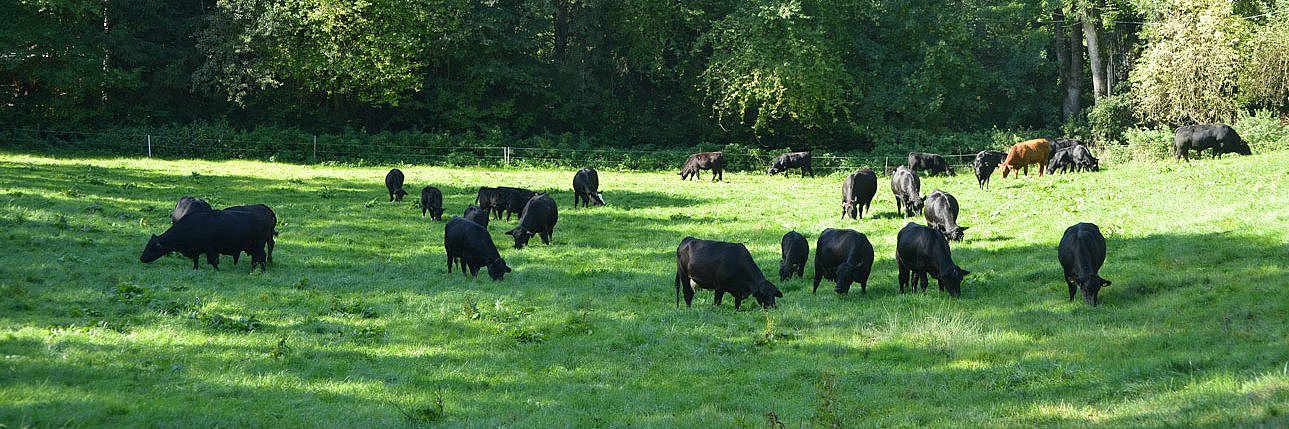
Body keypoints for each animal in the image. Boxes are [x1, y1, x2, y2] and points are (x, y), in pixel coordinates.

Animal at [138, 206, 274, 270]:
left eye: (151, 248)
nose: (141, 258)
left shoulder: (209, 248)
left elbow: (213, 261)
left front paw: (217, 270)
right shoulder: (196, 249)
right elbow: (196, 261)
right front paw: (195, 269)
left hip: (258, 245)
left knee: (261, 257)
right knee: (257, 258)